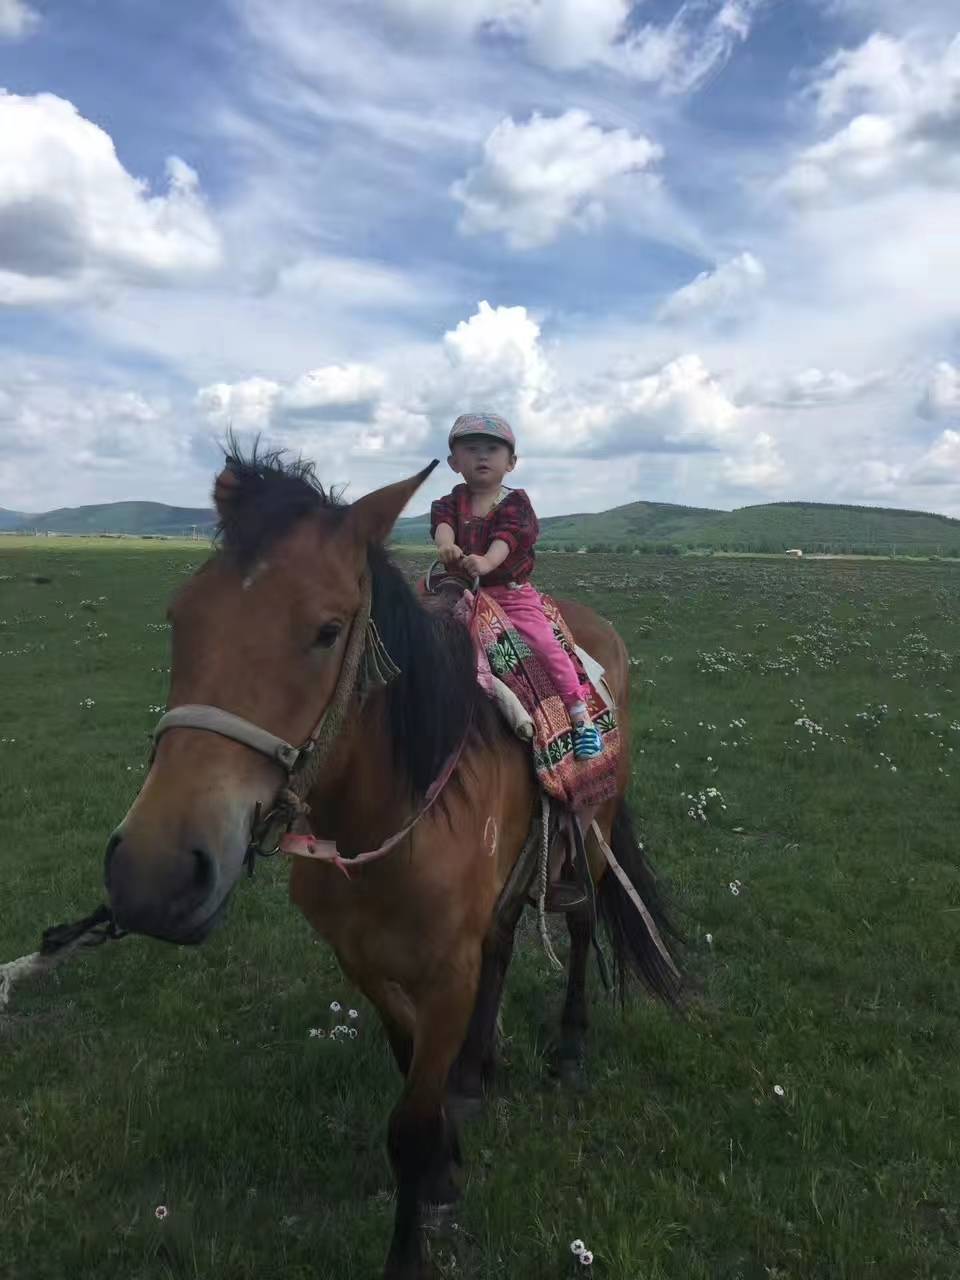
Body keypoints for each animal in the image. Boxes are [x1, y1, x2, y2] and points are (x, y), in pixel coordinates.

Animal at [101, 448, 680, 1280]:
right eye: (180, 617)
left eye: (326, 630)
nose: (152, 875)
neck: (382, 823)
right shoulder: (362, 962)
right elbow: (412, 1068)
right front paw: (449, 1154)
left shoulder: (445, 974)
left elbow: (408, 1124)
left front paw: (420, 1219)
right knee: (505, 939)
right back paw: (475, 1069)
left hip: (592, 834)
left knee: (580, 925)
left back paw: (569, 1048)